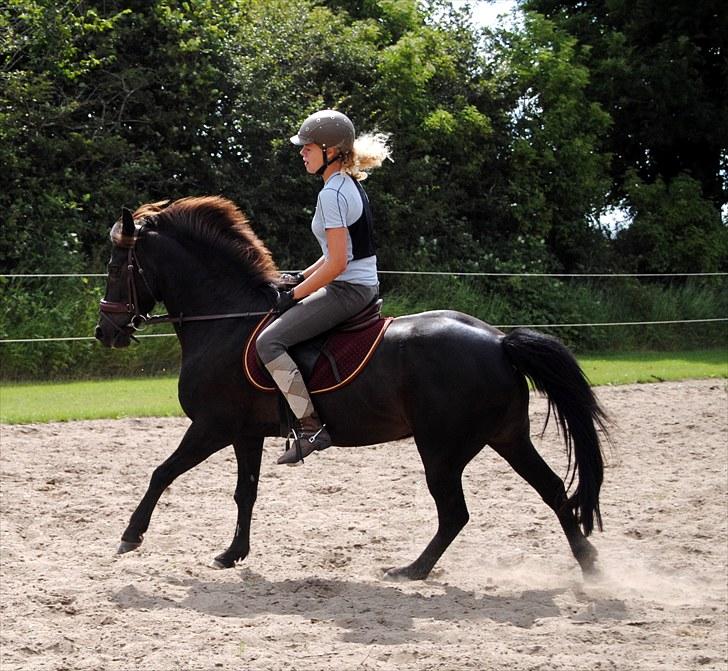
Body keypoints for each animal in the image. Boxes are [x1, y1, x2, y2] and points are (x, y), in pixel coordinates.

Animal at [95, 195, 609, 580]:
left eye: (117, 267)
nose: (105, 332)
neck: (225, 319)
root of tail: (500, 341)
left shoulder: (211, 426)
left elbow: (161, 473)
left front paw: (130, 535)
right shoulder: (244, 433)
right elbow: (246, 492)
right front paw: (232, 553)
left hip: (442, 449)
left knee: (455, 513)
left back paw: (412, 570)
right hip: (507, 437)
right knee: (552, 491)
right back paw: (588, 565)